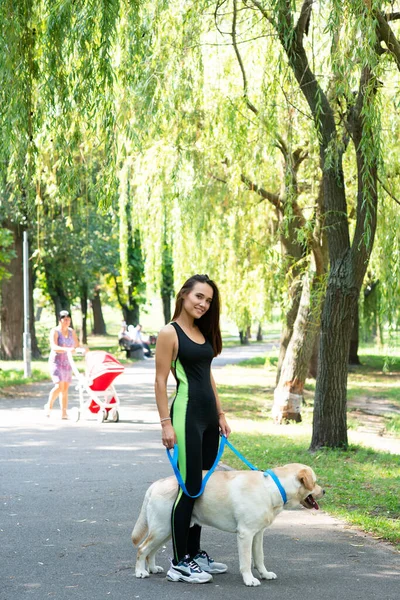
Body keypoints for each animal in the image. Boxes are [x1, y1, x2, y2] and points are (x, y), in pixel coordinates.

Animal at [131, 464, 324, 584]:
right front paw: (249, 579)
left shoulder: (258, 534)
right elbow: (246, 560)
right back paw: (141, 572)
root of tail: (156, 484)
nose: (324, 490)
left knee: (151, 551)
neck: (274, 488)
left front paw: (264, 574)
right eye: (314, 482)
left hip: (167, 530)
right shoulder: (245, 534)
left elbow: (259, 557)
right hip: (162, 528)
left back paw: (152, 568)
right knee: (142, 549)